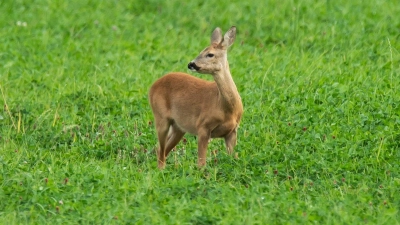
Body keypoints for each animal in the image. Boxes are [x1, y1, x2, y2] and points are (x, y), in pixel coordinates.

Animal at [148, 25, 242, 169]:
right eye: (201, 51)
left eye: (210, 54)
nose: (191, 64)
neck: (226, 108)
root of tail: (153, 86)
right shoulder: (203, 126)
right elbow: (201, 163)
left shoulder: (232, 131)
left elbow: (234, 158)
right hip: (160, 117)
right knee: (161, 151)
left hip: (178, 127)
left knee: (161, 149)